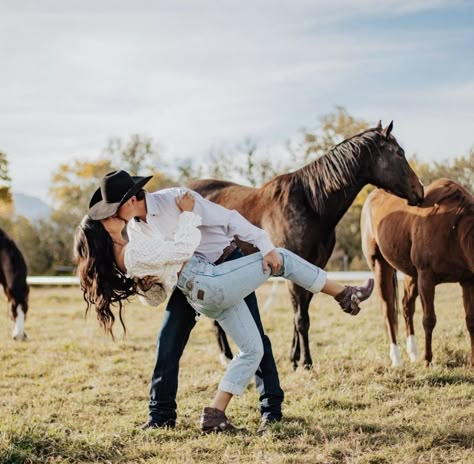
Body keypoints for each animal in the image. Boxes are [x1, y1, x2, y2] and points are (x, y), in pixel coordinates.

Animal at [191, 121, 424, 368]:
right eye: (399, 153)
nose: (420, 190)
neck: (309, 204)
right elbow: (301, 318)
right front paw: (306, 362)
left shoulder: (313, 267)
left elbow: (301, 315)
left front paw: (294, 359)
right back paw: (226, 357)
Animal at [362, 179, 472, 368]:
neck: (454, 228)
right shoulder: (426, 278)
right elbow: (429, 319)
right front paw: (427, 359)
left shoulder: (467, 280)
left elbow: (470, 320)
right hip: (381, 266)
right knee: (389, 311)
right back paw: (397, 359)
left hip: (411, 275)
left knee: (406, 306)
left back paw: (412, 353)